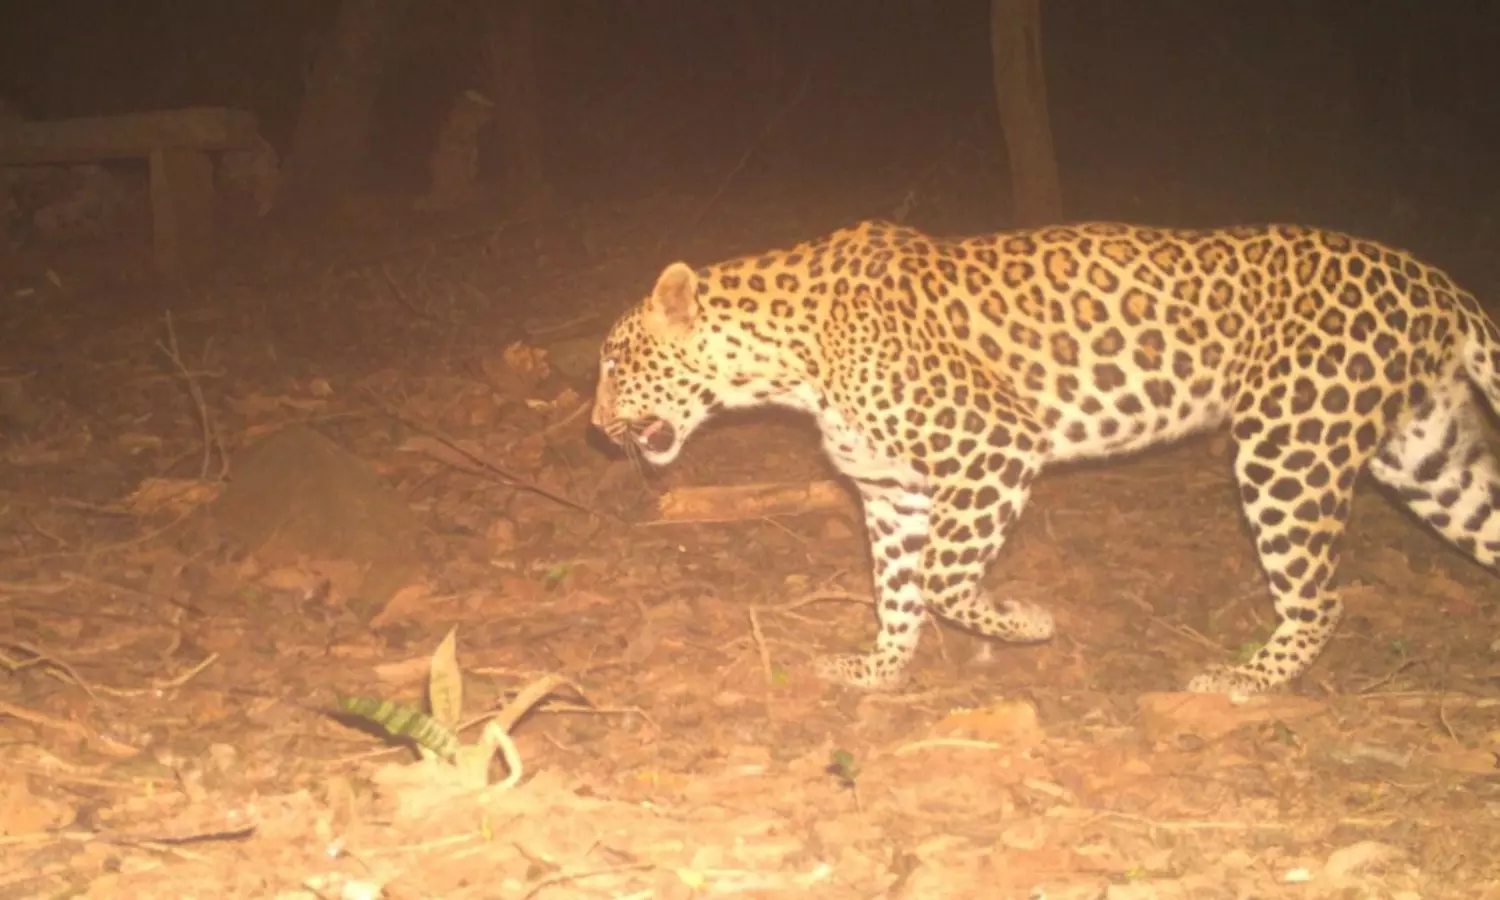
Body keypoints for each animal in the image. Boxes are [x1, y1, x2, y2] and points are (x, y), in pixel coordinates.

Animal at [591, 220, 1500, 694]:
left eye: (615, 362)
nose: (596, 426)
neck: (786, 358)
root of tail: (1435, 281)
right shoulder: (890, 490)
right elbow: (897, 588)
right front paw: (880, 666)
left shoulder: (994, 444)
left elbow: (944, 578)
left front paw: (1027, 623)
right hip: (1427, 456)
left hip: (1289, 446)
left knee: (1321, 598)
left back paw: (1244, 679)